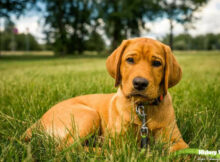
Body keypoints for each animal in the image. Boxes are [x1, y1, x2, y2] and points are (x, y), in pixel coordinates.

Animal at [24, 37, 188, 152]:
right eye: (130, 60)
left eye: (157, 63)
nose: (140, 83)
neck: (142, 108)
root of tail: (38, 122)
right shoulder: (119, 140)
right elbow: (123, 150)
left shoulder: (176, 140)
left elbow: (185, 153)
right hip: (89, 116)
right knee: (67, 148)